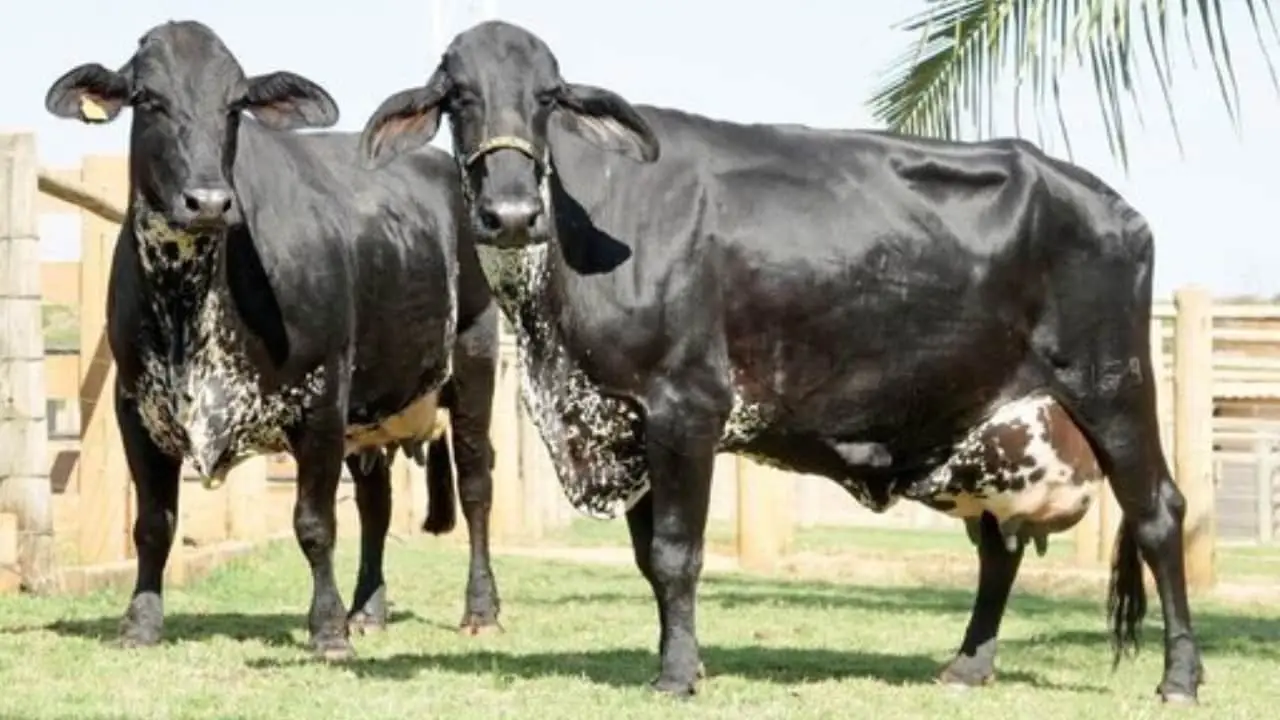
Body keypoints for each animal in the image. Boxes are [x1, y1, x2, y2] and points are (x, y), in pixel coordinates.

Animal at [42, 19, 504, 659]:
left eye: (235, 105)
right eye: (149, 99)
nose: (209, 200)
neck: (190, 300)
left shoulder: (322, 399)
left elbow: (314, 523)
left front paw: (328, 630)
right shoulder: (134, 406)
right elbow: (154, 523)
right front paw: (140, 621)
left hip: (474, 362)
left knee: (477, 484)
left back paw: (480, 609)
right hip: (371, 409)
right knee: (377, 503)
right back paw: (369, 608)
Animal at [356, 19, 1204, 704]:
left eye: (547, 97)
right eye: (457, 96)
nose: (509, 213)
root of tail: (1114, 205)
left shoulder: (686, 407)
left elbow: (677, 553)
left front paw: (675, 675)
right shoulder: (627, 422)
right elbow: (648, 558)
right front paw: (685, 659)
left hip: (1113, 387)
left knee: (1159, 515)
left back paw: (1181, 676)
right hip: (985, 428)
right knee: (999, 545)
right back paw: (968, 664)